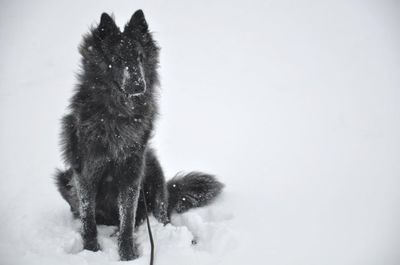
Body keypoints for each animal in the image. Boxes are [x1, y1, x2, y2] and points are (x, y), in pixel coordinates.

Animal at [55, 10, 225, 260]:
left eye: (140, 57)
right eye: (117, 60)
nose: (138, 85)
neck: (119, 114)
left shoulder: (131, 172)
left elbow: (127, 218)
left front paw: (127, 254)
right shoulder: (86, 173)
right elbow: (88, 220)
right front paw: (91, 249)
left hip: (153, 169)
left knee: (157, 216)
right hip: (64, 179)